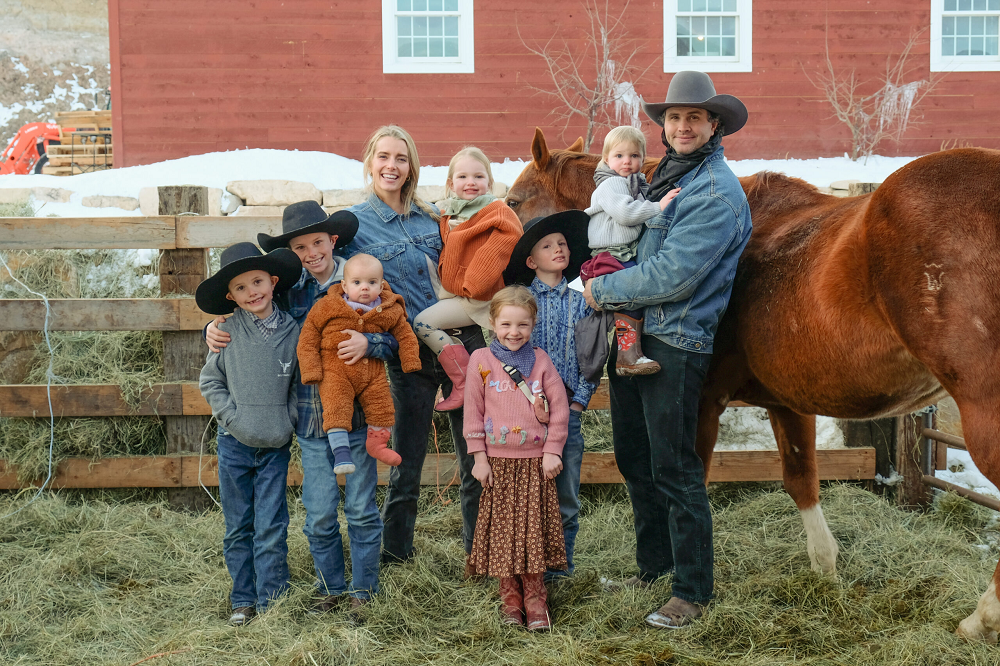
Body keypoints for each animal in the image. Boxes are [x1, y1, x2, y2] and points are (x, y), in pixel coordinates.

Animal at [512, 127, 1000, 640]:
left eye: (515, 200)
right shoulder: (789, 402)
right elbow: (801, 481)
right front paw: (825, 570)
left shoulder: (703, 403)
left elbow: (686, 486)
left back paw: (981, 618)